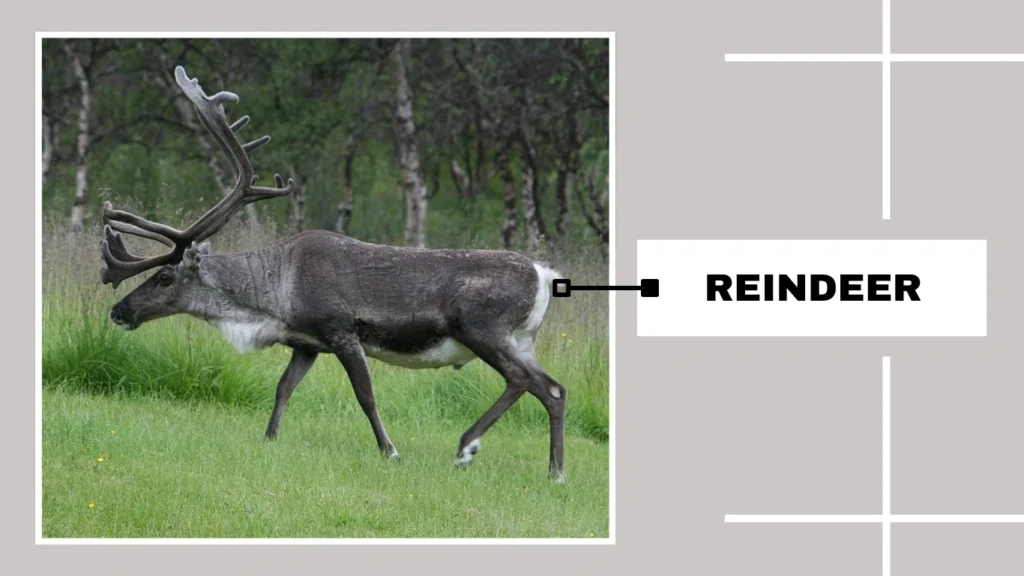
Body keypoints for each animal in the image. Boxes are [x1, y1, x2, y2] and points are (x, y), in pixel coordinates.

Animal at [99, 66, 570, 481]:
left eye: (164, 278)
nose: (119, 311)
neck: (272, 301)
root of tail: (545, 275)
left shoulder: (341, 330)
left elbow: (365, 395)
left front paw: (390, 451)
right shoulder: (307, 344)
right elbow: (283, 388)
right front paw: (269, 438)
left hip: (482, 329)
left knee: (522, 380)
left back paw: (467, 447)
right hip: (521, 340)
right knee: (554, 389)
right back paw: (555, 472)